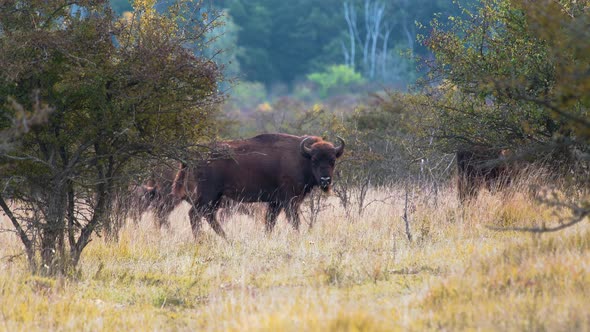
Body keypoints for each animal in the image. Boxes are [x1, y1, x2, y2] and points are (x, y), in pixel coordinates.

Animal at [132, 133, 344, 239]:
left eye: (332, 160)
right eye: (315, 160)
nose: (325, 180)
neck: (301, 157)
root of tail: (192, 157)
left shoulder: (275, 202)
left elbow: (270, 222)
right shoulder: (289, 201)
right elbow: (294, 221)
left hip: (216, 197)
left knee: (207, 216)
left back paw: (225, 238)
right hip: (208, 195)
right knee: (195, 214)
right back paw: (204, 239)